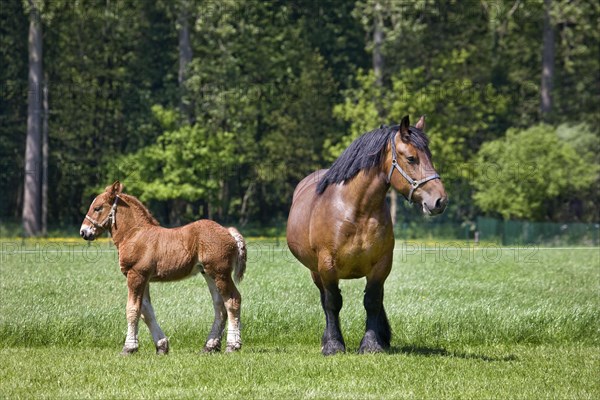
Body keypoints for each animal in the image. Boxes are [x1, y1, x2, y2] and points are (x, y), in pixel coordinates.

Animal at [80, 181, 246, 354]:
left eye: (98, 208)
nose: (83, 232)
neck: (135, 234)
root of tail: (229, 232)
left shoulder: (136, 275)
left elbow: (133, 309)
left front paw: (129, 347)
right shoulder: (144, 278)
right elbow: (146, 311)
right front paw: (161, 345)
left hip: (221, 273)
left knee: (232, 301)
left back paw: (232, 345)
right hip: (208, 273)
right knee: (219, 305)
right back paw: (210, 346)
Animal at [288, 115, 448, 354]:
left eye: (430, 157)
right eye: (411, 158)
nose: (440, 200)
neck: (356, 210)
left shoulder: (381, 265)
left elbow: (372, 301)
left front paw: (372, 344)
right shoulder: (327, 265)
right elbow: (332, 303)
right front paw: (333, 345)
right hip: (315, 271)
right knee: (324, 299)